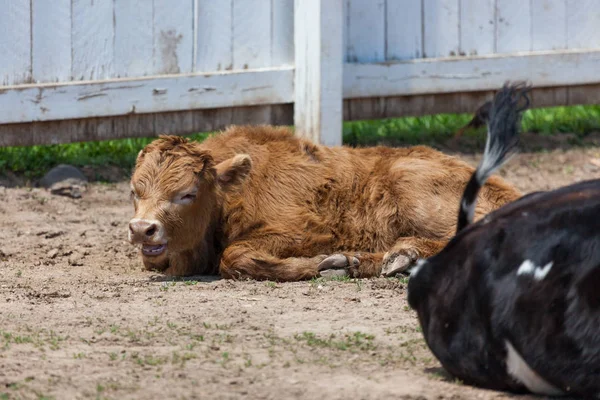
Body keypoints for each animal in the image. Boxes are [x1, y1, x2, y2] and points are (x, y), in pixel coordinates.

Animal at [127, 126, 520, 282]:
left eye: (188, 193)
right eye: (134, 191)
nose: (142, 230)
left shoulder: (304, 231)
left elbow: (235, 256)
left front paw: (314, 265)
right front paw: (335, 263)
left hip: (408, 181)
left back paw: (397, 254)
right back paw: (364, 261)